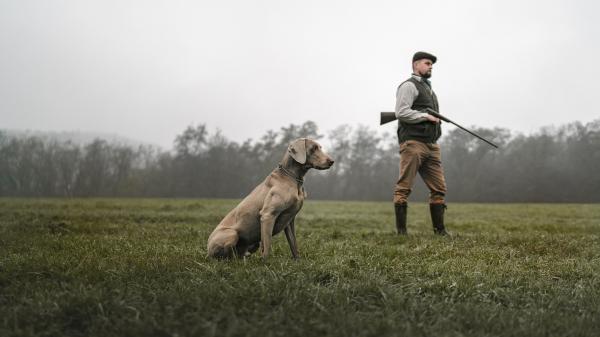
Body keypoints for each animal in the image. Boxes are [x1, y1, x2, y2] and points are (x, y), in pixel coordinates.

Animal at [207, 138, 336, 258]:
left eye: (320, 147)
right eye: (313, 148)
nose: (332, 161)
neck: (291, 177)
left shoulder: (290, 219)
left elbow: (293, 244)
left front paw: (298, 261)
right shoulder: (268, 215)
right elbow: (267, 245)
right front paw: (265, 263)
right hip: (232, 234)